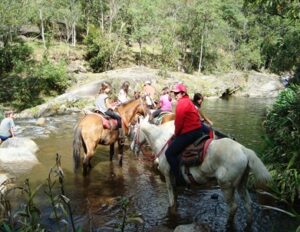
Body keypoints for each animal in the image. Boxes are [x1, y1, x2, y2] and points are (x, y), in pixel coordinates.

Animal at [130, 118, 270, 230]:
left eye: (133, 133)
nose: (132, 148)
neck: (161, 140)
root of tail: (244, 150)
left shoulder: (168, 176)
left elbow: (171, 201)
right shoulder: (173, 179)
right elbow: (175, 197)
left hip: (226, 186)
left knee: (233, 207)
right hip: (242, 184)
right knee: (248, 205)